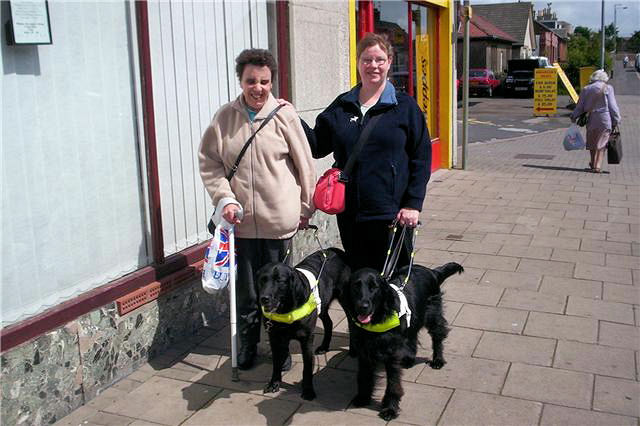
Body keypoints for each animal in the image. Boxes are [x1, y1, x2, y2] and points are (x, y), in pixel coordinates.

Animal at [255, 248, 350, 402]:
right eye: (262, 280)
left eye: (280, 280)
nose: (264, 298)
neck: (286, 310)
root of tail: (334, 250)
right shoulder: (274, 338)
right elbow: (276, 363)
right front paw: (274, 383)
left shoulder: (306, 340)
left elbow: (307, 368)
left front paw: (308, 390)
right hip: (322, 304)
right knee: (329, 323)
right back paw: (324, 347)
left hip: (347, 300)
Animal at [342, 262, 462, 422]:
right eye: (355, 286)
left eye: (374, 287)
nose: (363, 306)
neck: (378, 320)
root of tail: (432, 271)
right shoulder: (364, 351)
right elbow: (364, 376)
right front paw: (363, 397)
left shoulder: (391, 354)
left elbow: (393, 383)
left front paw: (389, 409)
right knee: (412, 336)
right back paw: (409, 359)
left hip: (432, 314)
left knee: (437, 336)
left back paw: (438, 360)